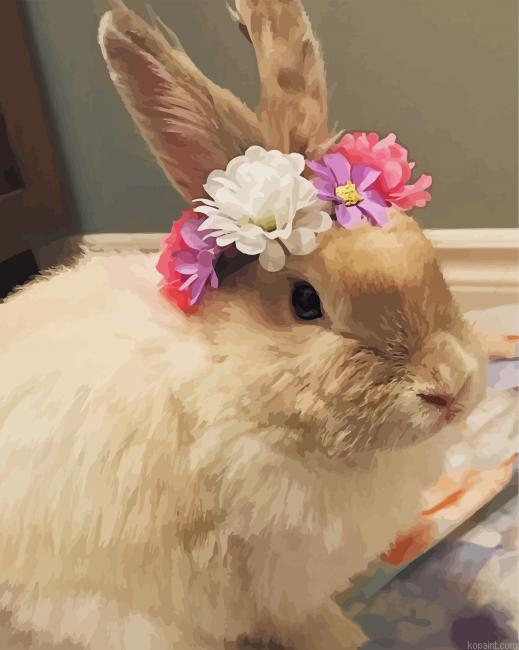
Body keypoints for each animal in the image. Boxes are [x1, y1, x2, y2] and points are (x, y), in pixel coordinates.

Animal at [0, 1, 486, 649]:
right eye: (305, 302)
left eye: (427, 255)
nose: (450, 386)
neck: (234, 382)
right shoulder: (275, 577)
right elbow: (302, 620)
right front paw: (344, 640)